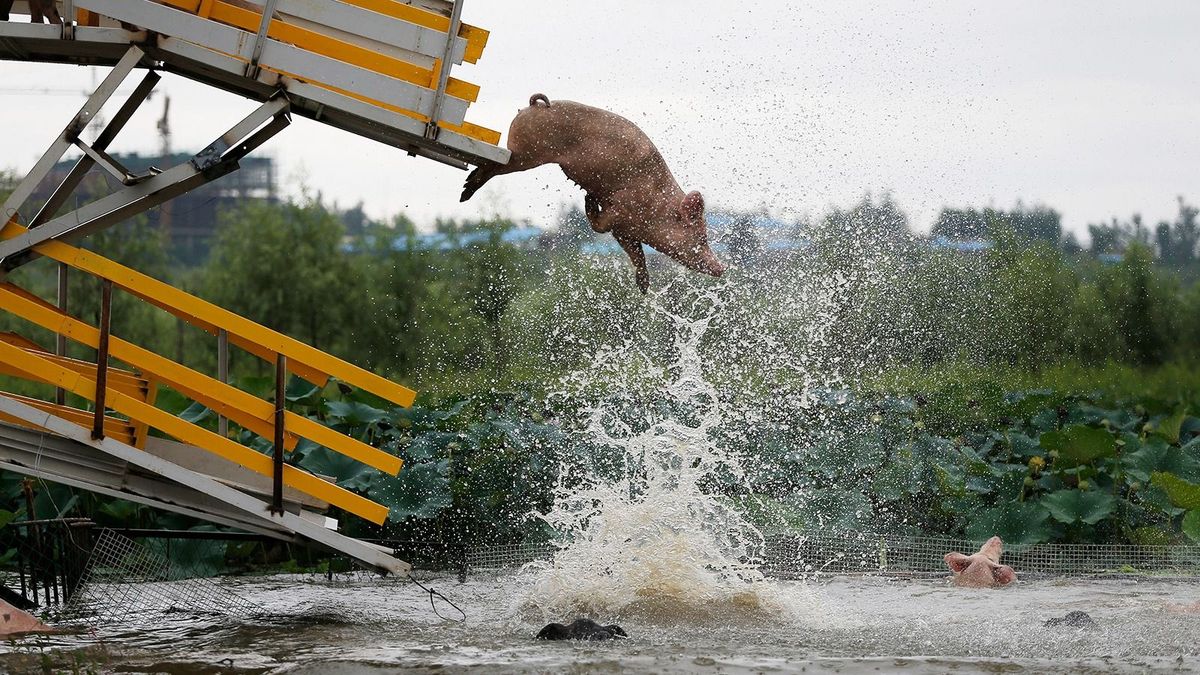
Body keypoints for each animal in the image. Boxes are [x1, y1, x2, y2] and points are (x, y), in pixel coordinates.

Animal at [456, 93, 720, 293]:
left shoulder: (626, 231)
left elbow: (636, 254)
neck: (657, 209)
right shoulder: (620, 209)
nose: (722, 268)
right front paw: (588, 199)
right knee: (493, 167)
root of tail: (535, 104)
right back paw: (465, 192)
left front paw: (644, 288)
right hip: (525, 154)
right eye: (701, 236)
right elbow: (599, 226)